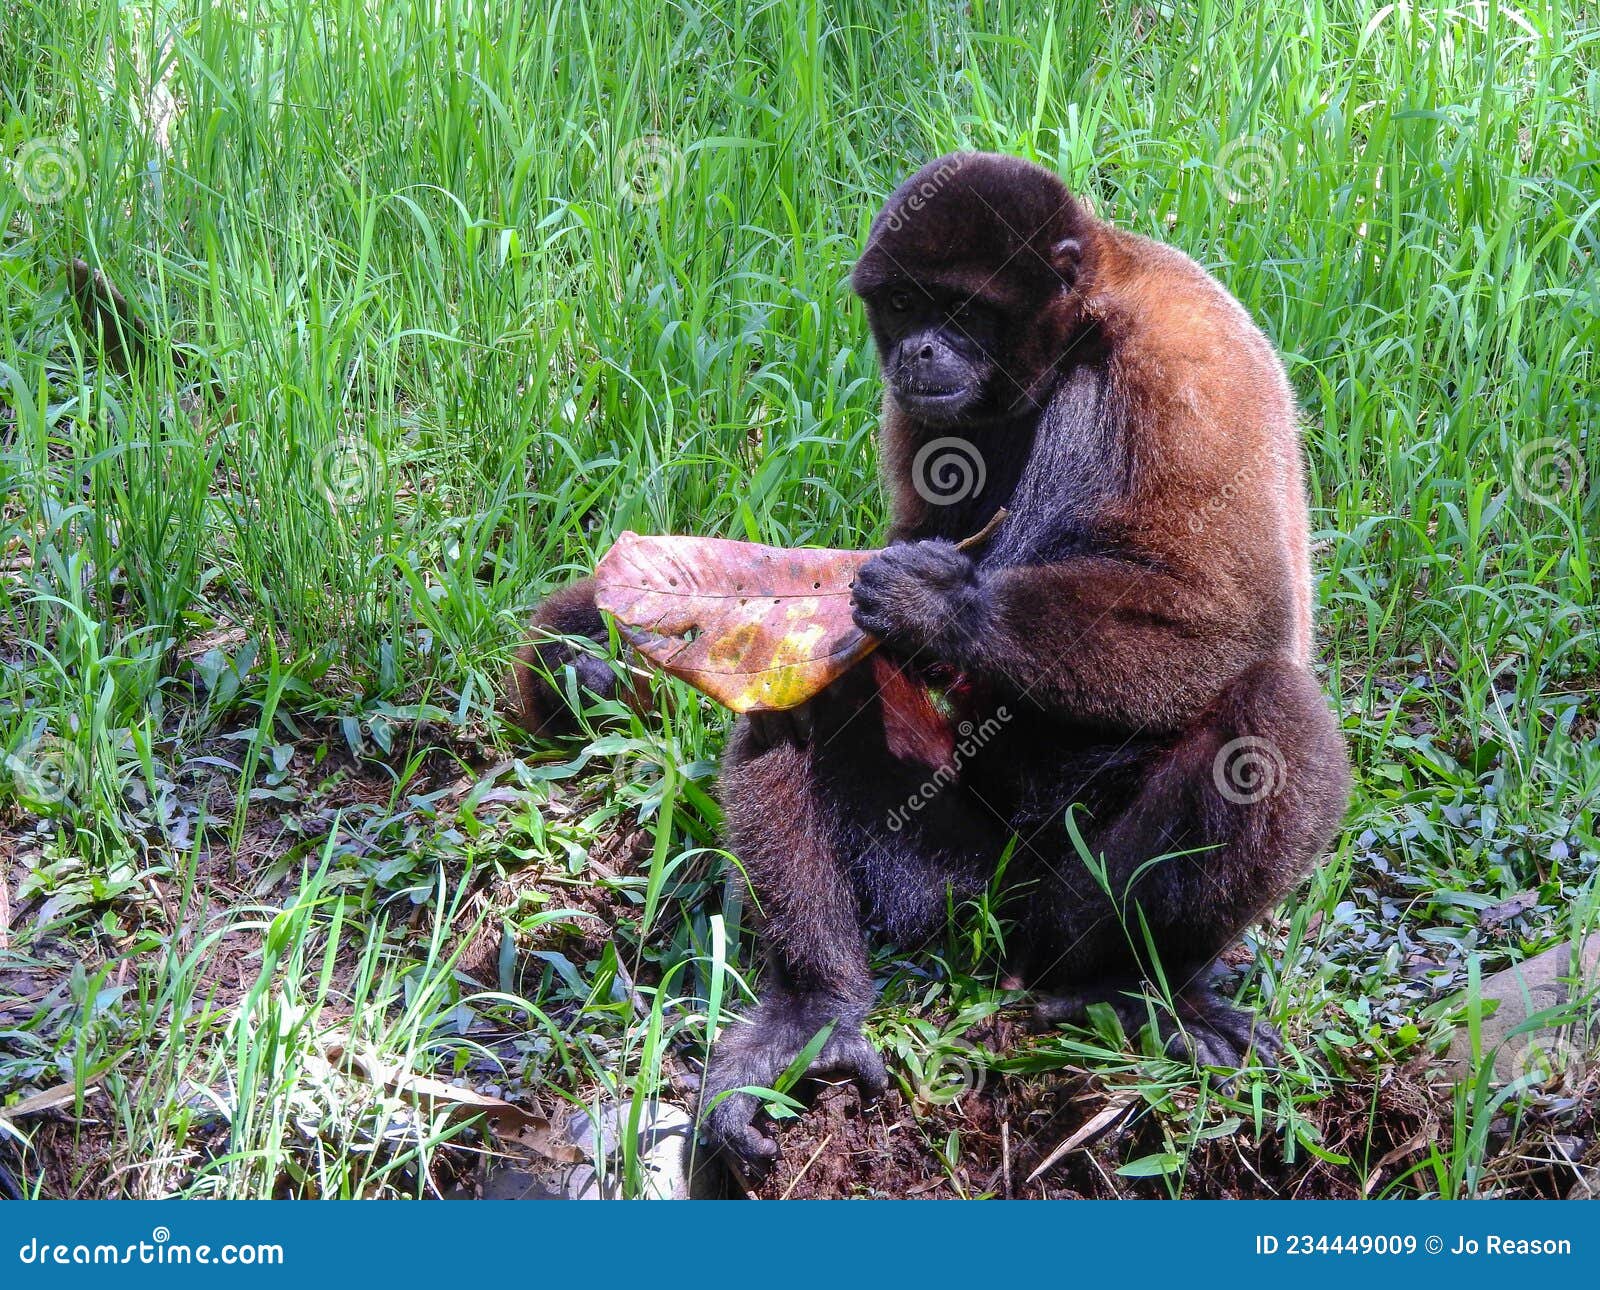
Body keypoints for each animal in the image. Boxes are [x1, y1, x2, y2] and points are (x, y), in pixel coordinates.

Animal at [515, 154, 1350, 1184]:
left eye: (960, 310)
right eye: (905, 306)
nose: (917, 353)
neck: (1087, 316)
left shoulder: (1183, 360)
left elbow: (1239, 616)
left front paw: (941, 611)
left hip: (1058, 894)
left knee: (1271, 720)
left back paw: (1116, 981)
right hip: (938, 862)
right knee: (805, 687)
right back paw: (818, 1011)